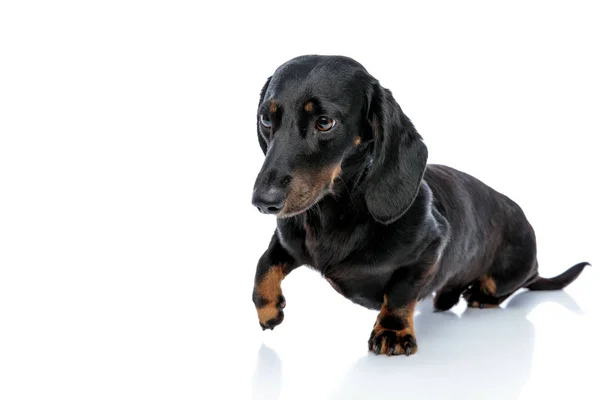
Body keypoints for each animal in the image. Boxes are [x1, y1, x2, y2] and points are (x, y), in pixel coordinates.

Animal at [250, 54, 592, 356]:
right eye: (266, 119)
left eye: (324, 122)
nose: (263, 202)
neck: (334, 213)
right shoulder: (288, 241)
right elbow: (265, 265)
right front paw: (270, 309)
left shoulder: (430, 247)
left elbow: (400, 293)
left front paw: (392, 330)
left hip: (510, 270)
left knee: (500, 288)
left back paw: (478, 296)